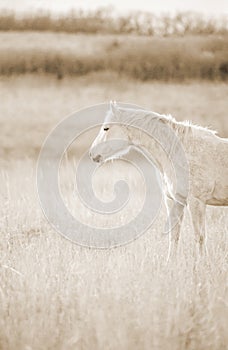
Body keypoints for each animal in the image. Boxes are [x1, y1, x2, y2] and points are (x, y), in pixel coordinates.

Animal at [89, 101, 228, 260]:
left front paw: (202, 262)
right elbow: (174, 235)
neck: (181, 152)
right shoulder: (174, 201)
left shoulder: (196, 202)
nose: (92, 153)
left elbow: (200, 236)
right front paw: (171, 262)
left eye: (106, 128)